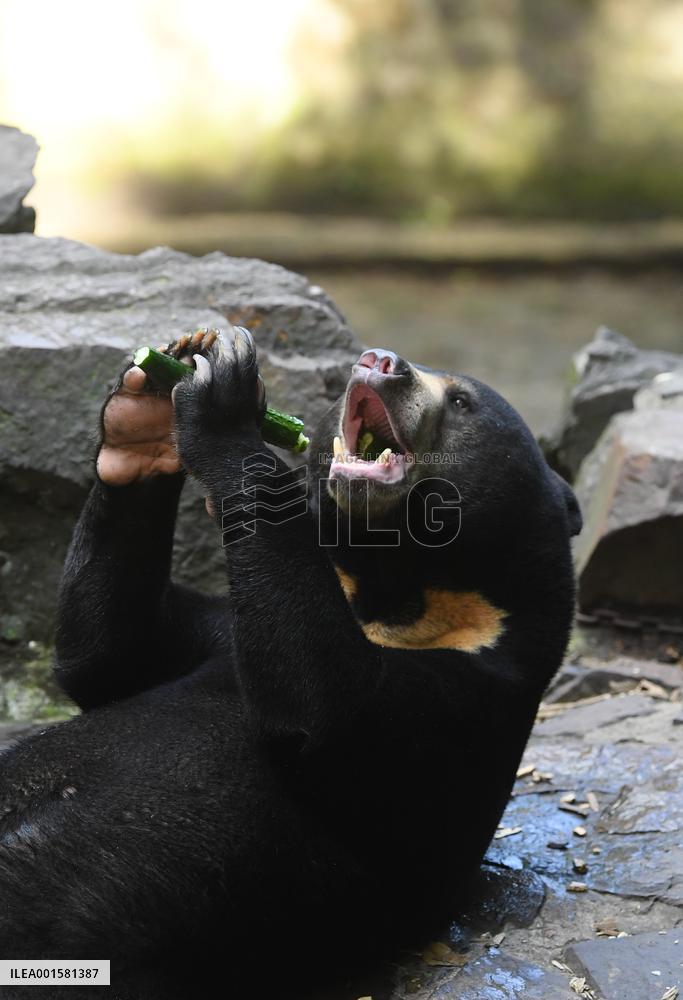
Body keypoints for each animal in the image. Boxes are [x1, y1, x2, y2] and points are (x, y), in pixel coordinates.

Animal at [0, 327, 581, 999]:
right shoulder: (220, 632)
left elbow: (326, 705)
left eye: (461, 403)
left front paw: (224, 400)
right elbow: (110, 658)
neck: (389, 593)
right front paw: (141, 405)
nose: (378, 362)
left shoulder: (469, 698)